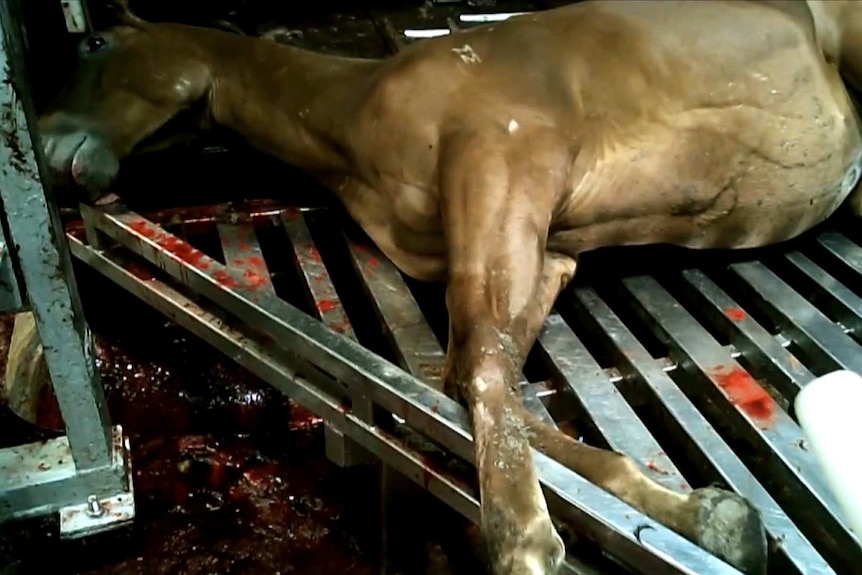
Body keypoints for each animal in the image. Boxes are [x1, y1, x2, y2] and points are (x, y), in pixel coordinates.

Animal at [18, 1, 862, 575]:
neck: (358, 111)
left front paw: (529, 543)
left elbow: (481, 371)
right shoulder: (544, 250)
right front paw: (711, 516)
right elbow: (473, 380)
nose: (48, 145)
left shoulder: (505, 160)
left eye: (95, 41)